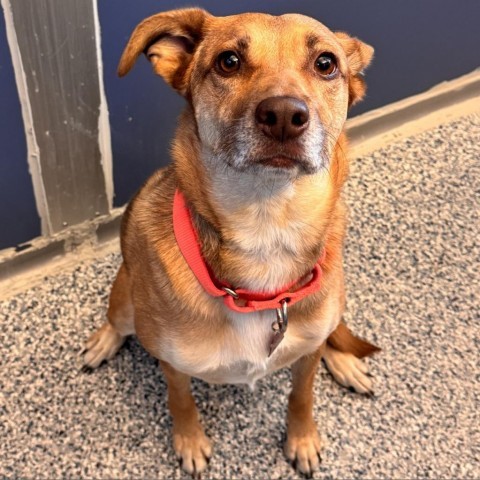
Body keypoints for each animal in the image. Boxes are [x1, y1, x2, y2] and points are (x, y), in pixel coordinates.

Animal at [83, 7, 382, 476]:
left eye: (326, 64)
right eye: (228, 61)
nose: (284, 115)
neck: (268, 226)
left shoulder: (306, 357)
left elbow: (302, 393)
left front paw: (302, 438)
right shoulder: (173, 364)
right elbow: (181, 400)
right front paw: (190, 442)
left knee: (327, 335)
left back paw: (344, 361)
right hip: (125, 299)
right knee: (118, 321)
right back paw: (104, 340)